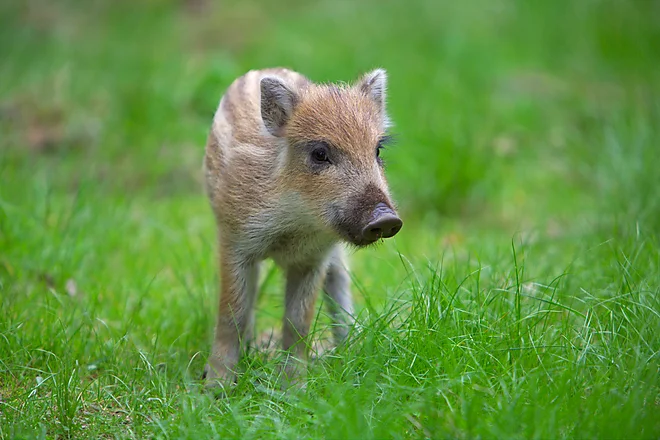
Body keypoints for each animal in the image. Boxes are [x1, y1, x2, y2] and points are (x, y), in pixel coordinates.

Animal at [203, 67, 402, 387]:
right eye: (320, 153)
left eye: (377, 150)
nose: (385, 219)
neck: (295, 223)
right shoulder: (235, 243)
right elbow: (232, 312)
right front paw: (214, 387)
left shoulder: (315, 257)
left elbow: (298, 322)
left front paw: (294, 387)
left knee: (339, 283)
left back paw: (349, 347)